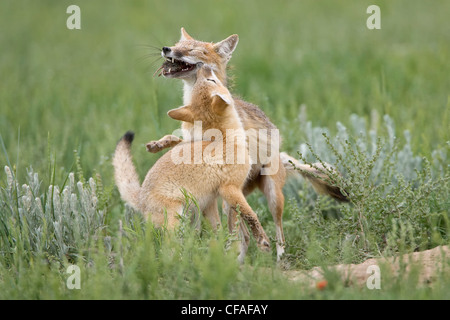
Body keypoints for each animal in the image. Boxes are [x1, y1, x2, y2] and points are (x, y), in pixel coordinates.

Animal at [149, 28, 346, 262]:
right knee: (243, 235)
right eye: (176, 45)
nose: (166, 49)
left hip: (271, 198)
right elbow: (178, 141)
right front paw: (160, 143)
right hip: (230, 201)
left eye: (193, 50)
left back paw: (278, 260)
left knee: (276, 232)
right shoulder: (195, 146)